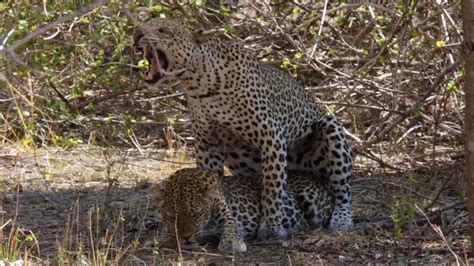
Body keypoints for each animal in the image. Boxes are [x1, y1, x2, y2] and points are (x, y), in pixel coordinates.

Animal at [132, 18, 352, 239]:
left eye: (163, 30)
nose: (136, 34)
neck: (200, 84)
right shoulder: (207, 143)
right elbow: (209, 177)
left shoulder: (270, 136)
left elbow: (272, 186)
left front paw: (271, 225)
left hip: (330, 128)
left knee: (342, 192)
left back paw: (341, 220)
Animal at [152, 168, 334, 254]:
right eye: (172, 217)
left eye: (196, 215)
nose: (186, 237)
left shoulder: (229, 217)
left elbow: (232, 228)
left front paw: (232, 243)